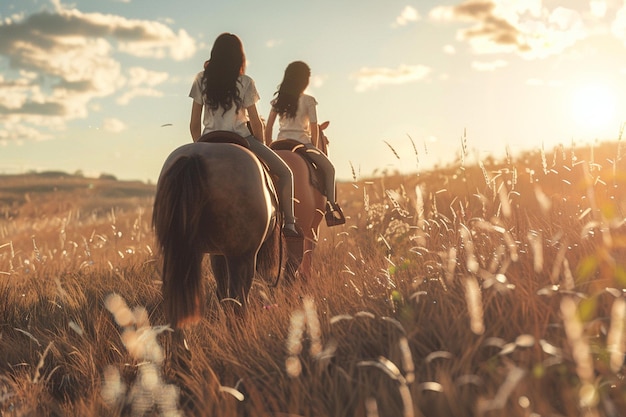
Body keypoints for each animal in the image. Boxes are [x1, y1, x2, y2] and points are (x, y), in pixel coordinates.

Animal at [154, 136, 282, 328]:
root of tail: (194, 157)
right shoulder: (239, 255)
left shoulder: (217, 253)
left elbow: (222, 292)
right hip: (240, 255)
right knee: (239, 298)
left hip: (182, 253)